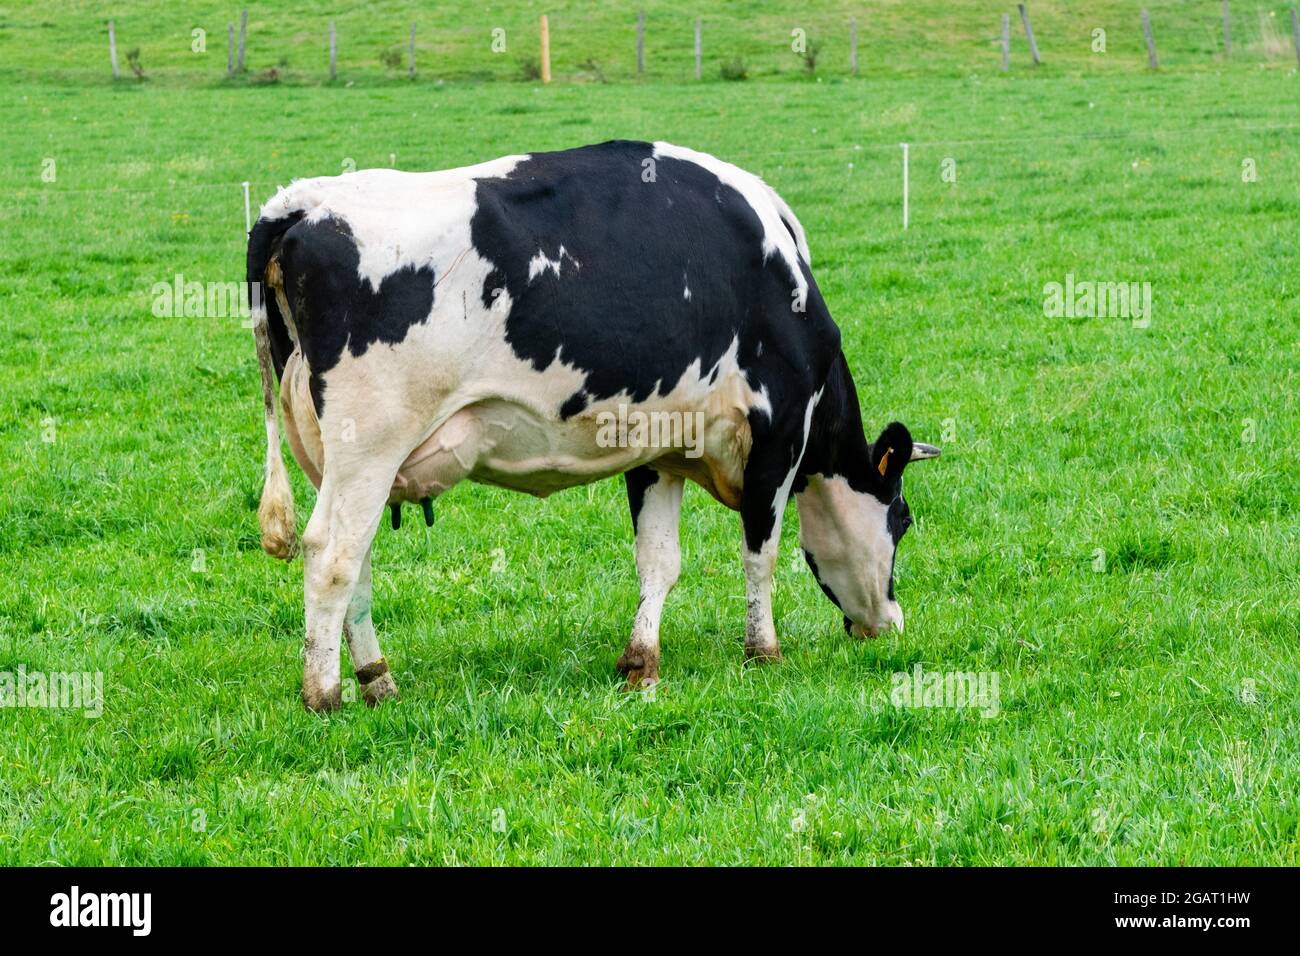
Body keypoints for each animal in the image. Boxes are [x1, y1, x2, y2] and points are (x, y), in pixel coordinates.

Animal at [246, 140, 940, 711]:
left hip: (336, 456)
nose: (890, 625)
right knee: (331, 555)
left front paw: (641, 664)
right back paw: (324, 693)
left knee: (355, 557)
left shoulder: (657, 447)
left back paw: (377, 679)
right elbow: (760, 551)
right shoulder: (779, 430)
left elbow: (659, 562)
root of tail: (304, 202)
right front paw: (763, 652)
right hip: (370, 442)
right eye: (902, 519)